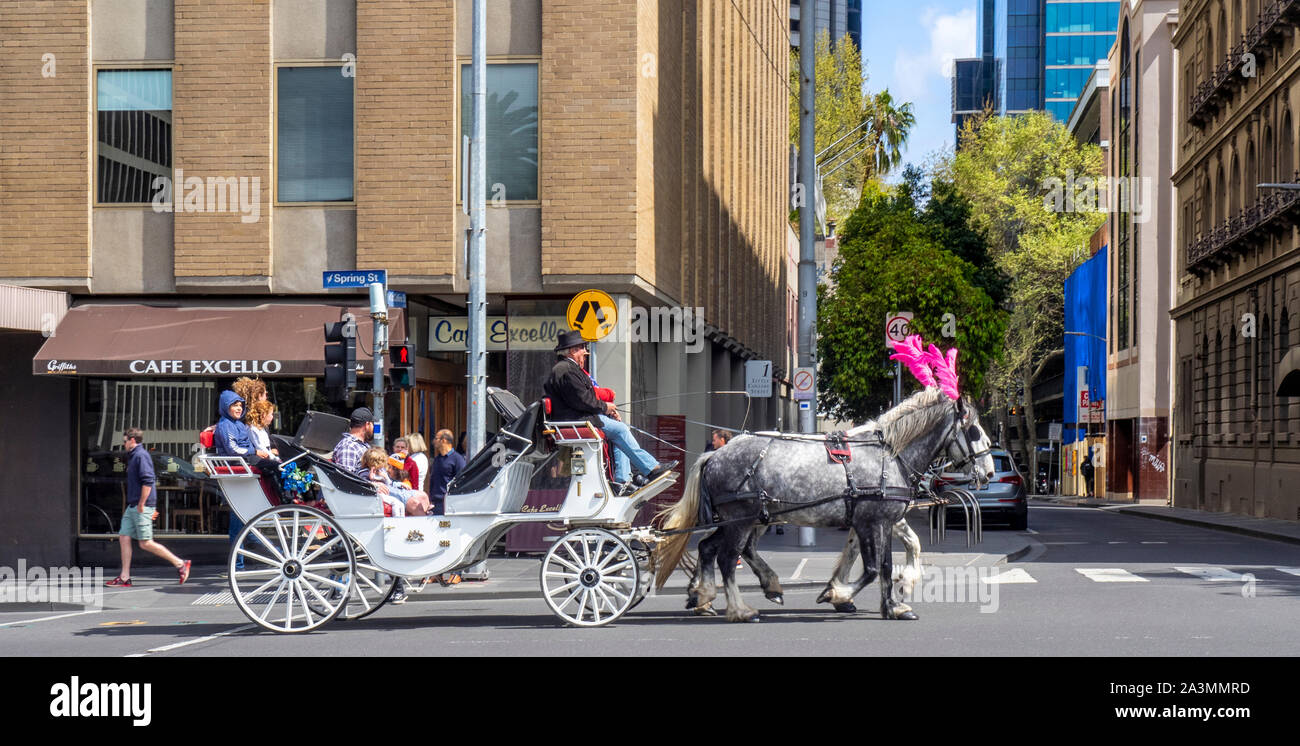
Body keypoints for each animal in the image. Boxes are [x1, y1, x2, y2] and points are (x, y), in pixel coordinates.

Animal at [655, 389, 998, 623]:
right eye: (974, 431)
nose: (990, 472)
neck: (889, 455)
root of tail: (715, 454)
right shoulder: (871, 523)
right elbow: (872, 569)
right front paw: (839, 594)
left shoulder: (881, 522)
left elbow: (886, 566)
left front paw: (893, 606)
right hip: (743, 519)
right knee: (728, 558)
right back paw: (740, 609)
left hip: (742, 519)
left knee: (709, 548)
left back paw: (707, 595)